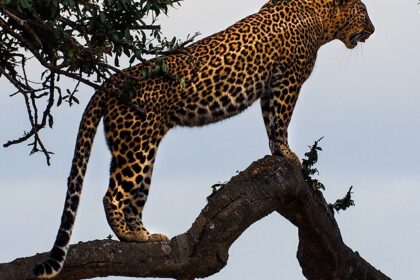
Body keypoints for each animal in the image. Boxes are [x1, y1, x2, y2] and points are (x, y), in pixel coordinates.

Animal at [32, 0, 374, 276]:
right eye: (364, 11)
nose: (372, 29)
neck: (320, 17)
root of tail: (114, 80)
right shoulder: (286, 82)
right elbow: (280, 121)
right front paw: (287, 153)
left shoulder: (270, 88)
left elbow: (270, 122)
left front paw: (279, 152)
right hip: (137, 147)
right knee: (113, 194)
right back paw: (130, 236)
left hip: (137, 148)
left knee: (133, 198)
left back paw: (145, 236)